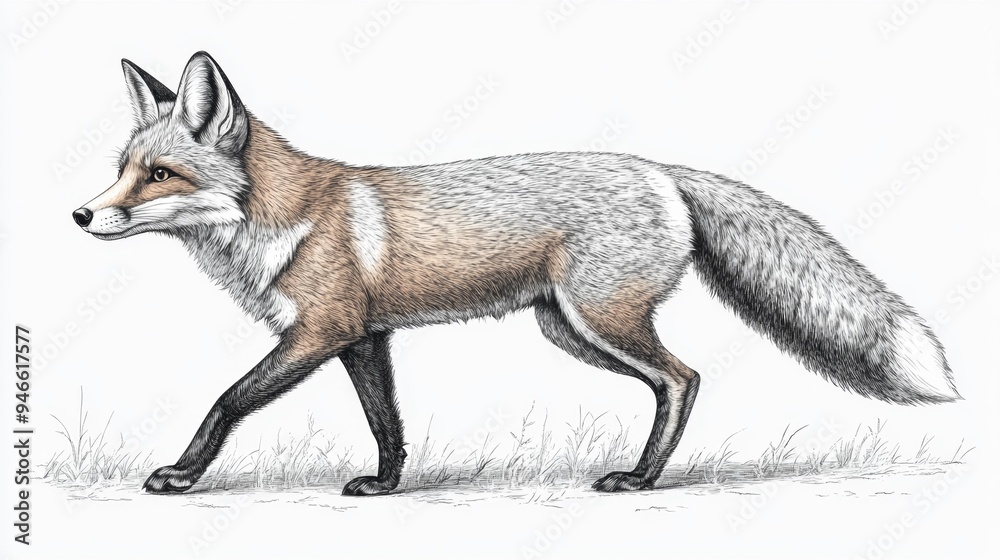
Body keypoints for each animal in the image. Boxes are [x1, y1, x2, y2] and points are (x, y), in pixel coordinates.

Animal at [73, 52, 958, 495]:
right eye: (121, 171)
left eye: (159, 176)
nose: (81, 216)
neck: (279, 222)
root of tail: (660, 170)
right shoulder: (363, 337)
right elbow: (386, 424)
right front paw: (387, 486)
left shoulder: (318, 332)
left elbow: (226, 401)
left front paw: (182, 475)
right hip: (568, 328)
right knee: (675, 380)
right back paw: (645, 471)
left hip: (601, 320)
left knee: (685, 377)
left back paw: (642, 480)